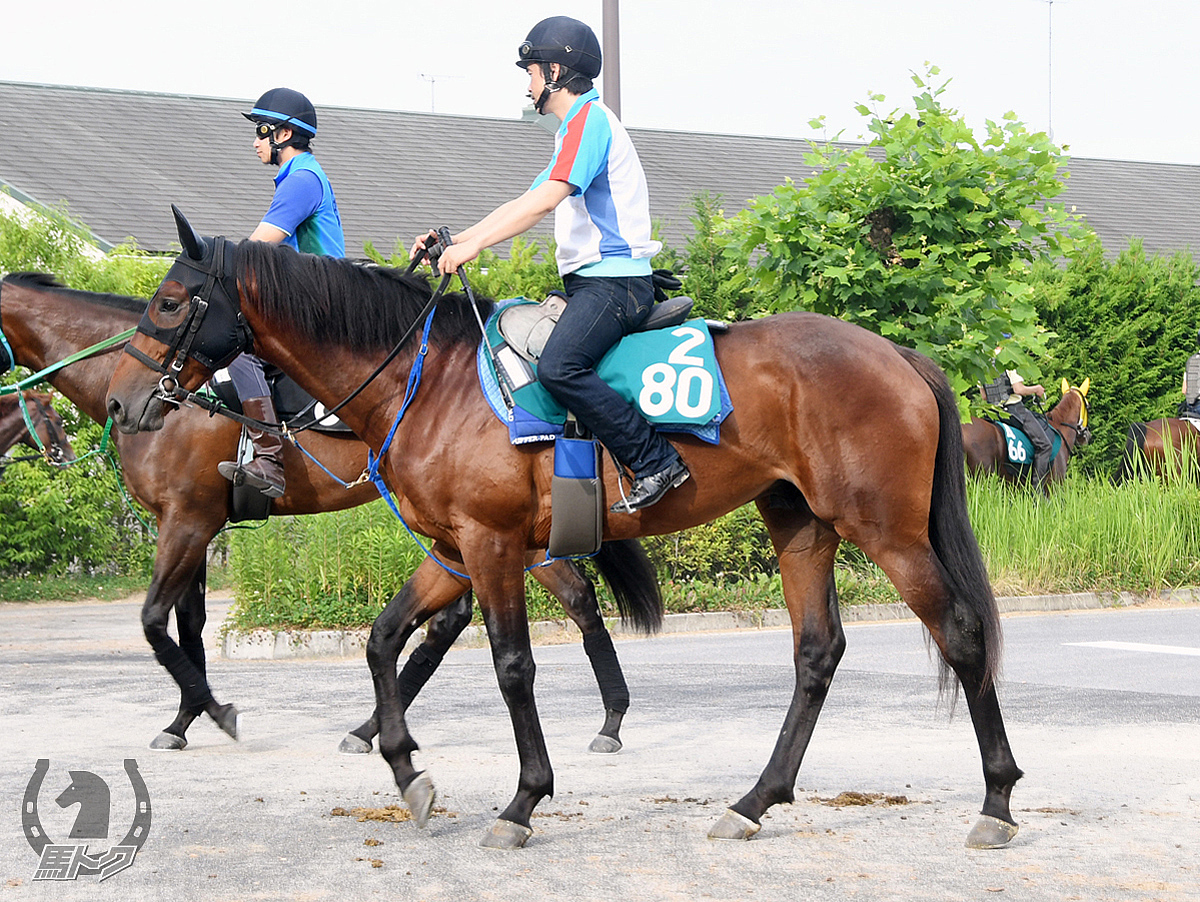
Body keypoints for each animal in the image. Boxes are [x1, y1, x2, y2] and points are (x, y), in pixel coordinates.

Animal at [0, 273, 657, 753]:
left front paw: (212, 712)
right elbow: (188, 625)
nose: (120, 405)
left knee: (545, 602)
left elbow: (157, 622)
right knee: (509, 608)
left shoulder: (186, 520)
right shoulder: (190, 523)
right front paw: (186, 717)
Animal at [105, 213, 1022, 854]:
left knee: (961, 633)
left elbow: (513, 667)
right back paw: (754, 802)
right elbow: (380, 640)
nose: (123, 400)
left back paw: (997, 800)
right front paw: (406, 768)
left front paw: (521, 800)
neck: (428, 381)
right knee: (817, 653)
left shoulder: (490, 544)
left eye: (170, 301)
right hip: (800, 523)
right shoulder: (451, 551)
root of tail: (898, 356)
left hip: (884, 528)